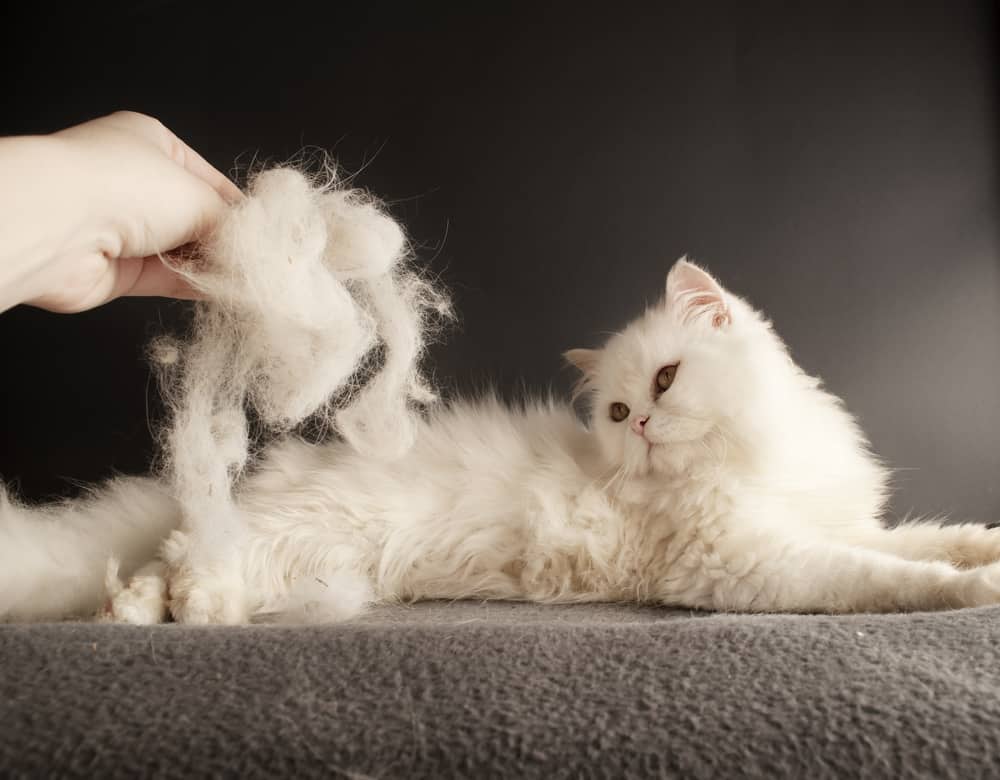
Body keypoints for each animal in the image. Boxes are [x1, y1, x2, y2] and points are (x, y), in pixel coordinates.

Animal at [1, 258, 1000, 624]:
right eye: (616, 414)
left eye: (664, 383)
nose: (642, 425)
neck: (758, 461)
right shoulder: (749, 563)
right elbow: (887, 579)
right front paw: (969, 593)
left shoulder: (832, 522)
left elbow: (923, 540)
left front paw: (982, 553)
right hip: (281, 537)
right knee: (179, 564)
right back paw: (166, 611)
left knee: (163, 564)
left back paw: (142, 609)